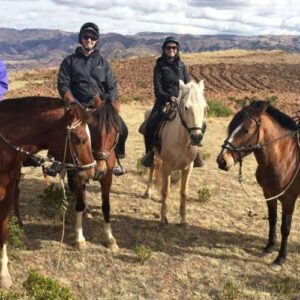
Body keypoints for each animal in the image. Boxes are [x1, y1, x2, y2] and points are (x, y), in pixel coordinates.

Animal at [144, 79, 207, 225]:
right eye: (186, 107)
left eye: (204, 107)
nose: (196, 137)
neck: (182, 139)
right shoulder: (167, 167)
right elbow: (165, 190)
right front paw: (163, 217)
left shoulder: (188, 168)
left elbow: (184, 192)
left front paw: (183, 219)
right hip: (153, 154)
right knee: (152, 169)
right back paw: (148, 192)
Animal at [217, 100, 298, 272]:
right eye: (231, 127)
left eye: (246, 129)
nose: (222, 161)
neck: (285, 158)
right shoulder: (269, 194)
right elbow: (273, 219)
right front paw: (269, 246)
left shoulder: (289, 199)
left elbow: (285, 228)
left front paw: (280, 258)